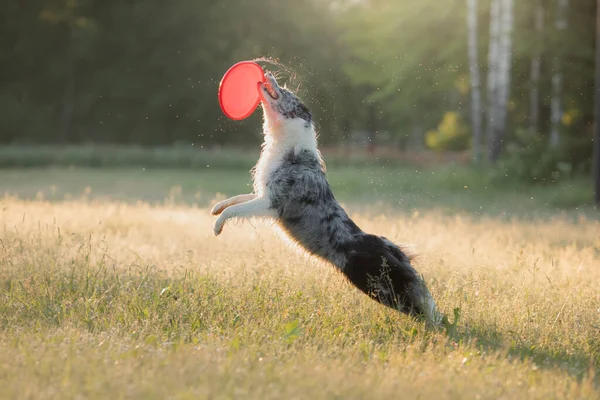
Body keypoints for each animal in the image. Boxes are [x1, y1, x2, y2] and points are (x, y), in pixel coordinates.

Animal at [210, 72, 440, 326]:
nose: (268, 74)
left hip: (384, 290)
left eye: (288, 92)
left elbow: (235, 211)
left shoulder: (272, 203)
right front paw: (216, 207)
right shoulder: (263, 194)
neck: (288, 144)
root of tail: (389, 246)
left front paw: (218, 226)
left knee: (426, 312)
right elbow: (236, 200)